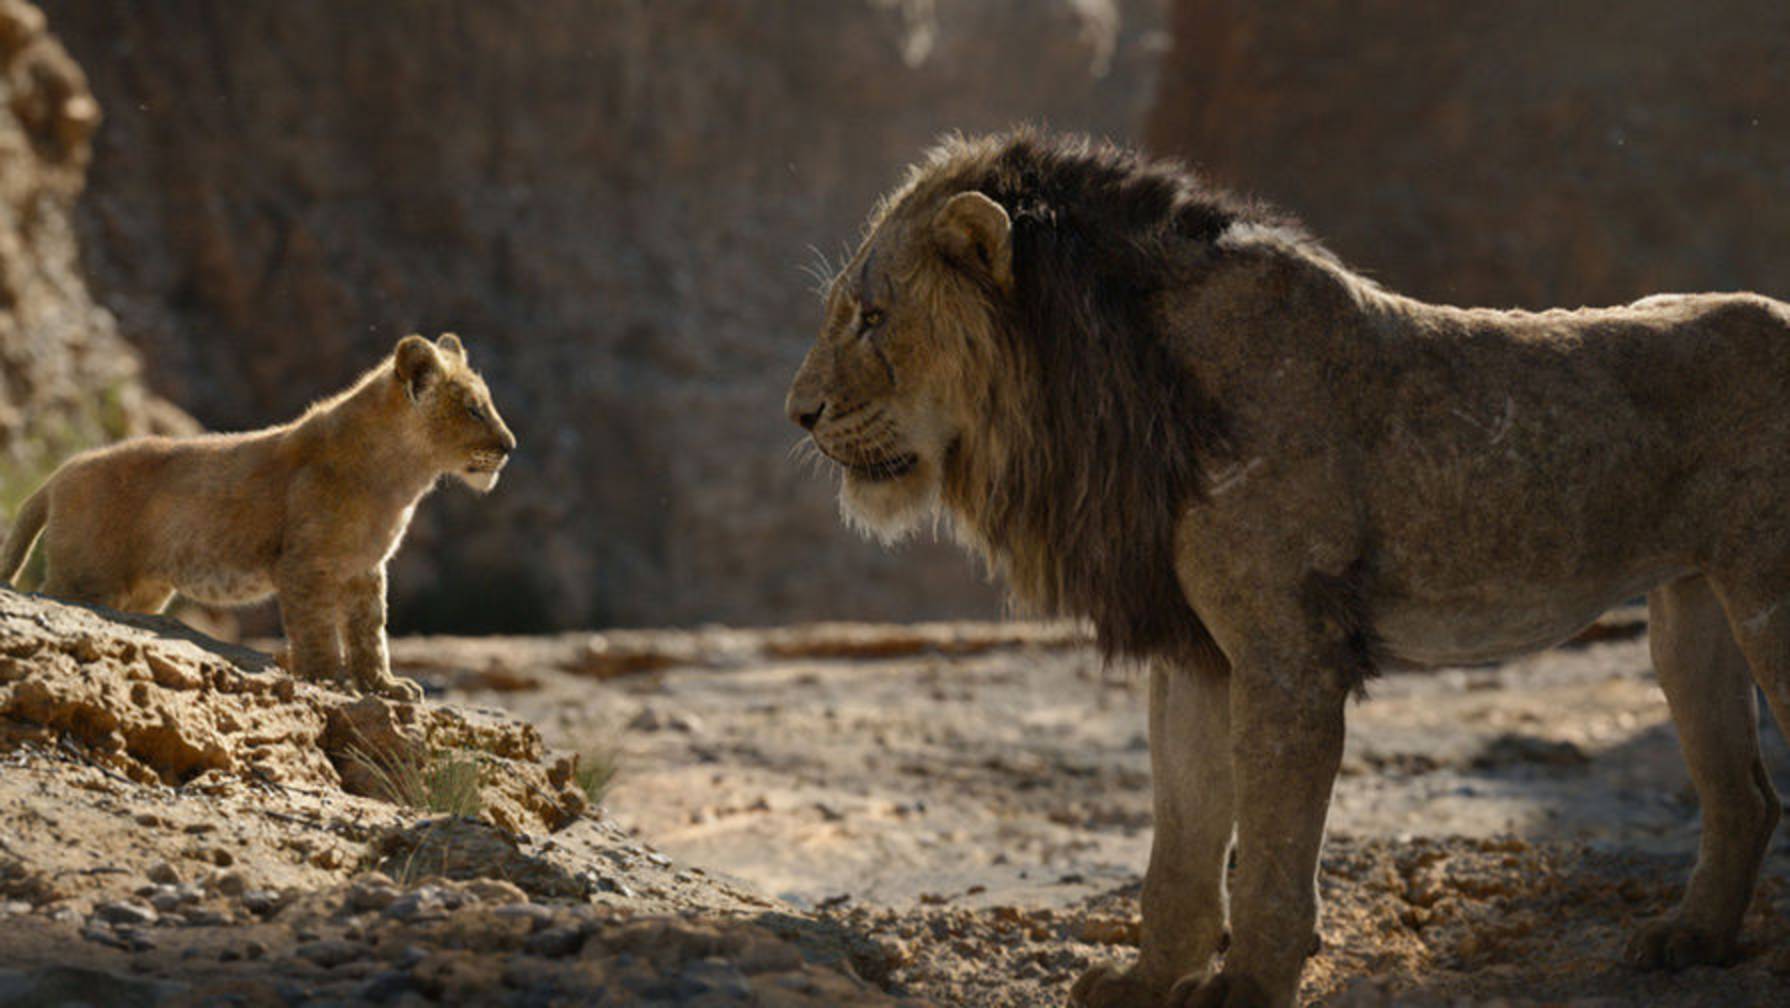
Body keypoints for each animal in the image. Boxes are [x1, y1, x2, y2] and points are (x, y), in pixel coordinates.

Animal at [0, 333, 516, 701]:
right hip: (87, 577)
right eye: (474, 409)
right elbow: (317, 629)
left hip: (143, 590)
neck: (402, 476)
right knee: (53, 593)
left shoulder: (366, 569)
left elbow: (371, 631)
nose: (510, 446)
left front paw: (386, 687)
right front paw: (329, 678)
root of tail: (59, 473)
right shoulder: (304, 564)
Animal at [786, 130, 1790, 1007]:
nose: (799, 412)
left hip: (1767, 601)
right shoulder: (1195, 653)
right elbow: (1181, 843)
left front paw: (1245, 988)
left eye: (872, 318)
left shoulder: (1287, 653)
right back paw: (1690, 941)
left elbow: (1270, 848)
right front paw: (1149, 981)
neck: (1108, 388)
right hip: (1689, 613)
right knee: (1745, 795)